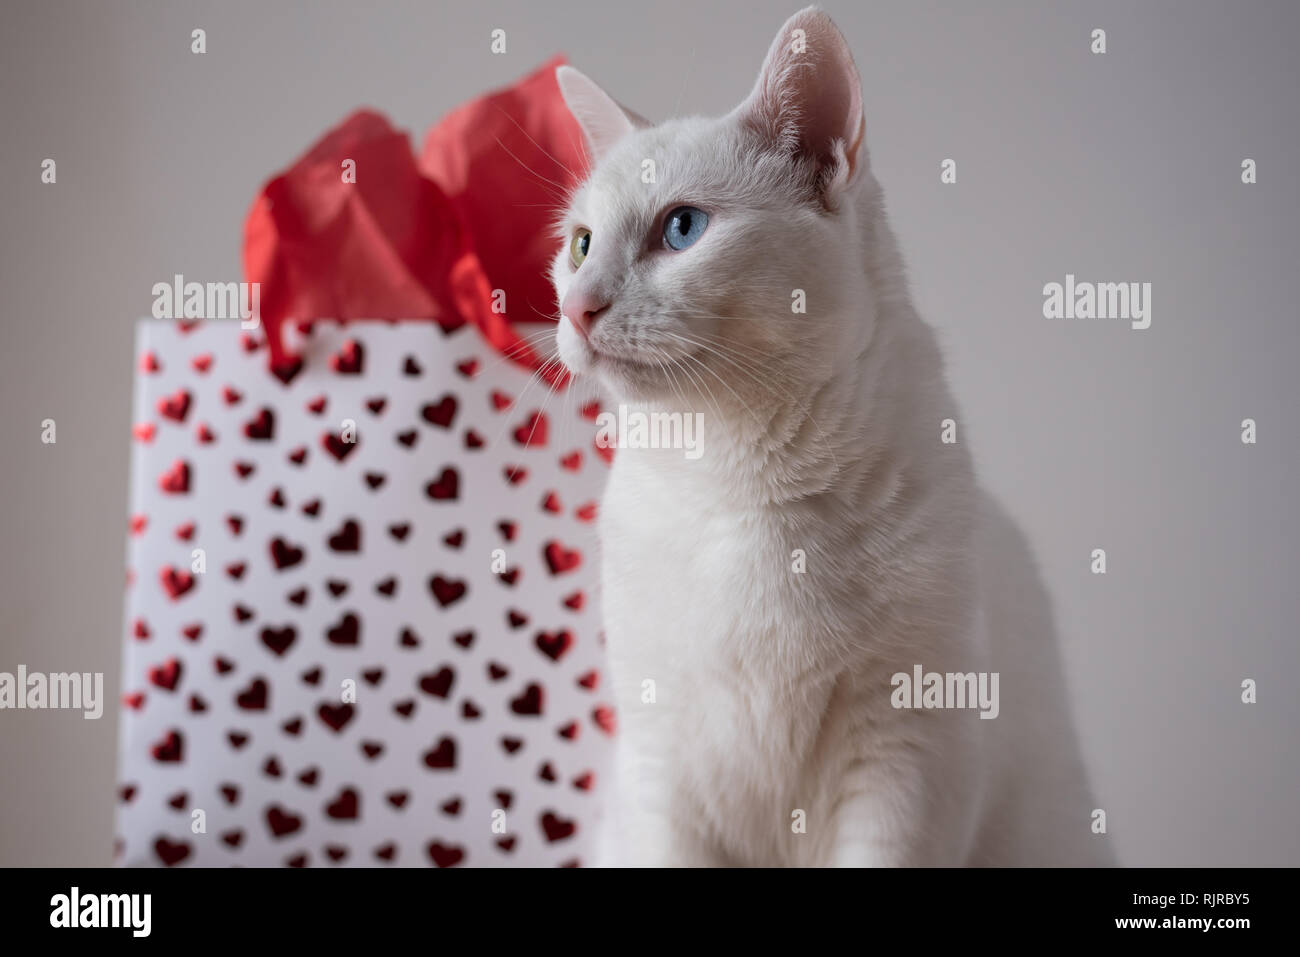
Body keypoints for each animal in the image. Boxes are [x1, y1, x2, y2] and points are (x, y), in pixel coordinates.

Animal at [553, 3, 1112, 863]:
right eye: (580, 243)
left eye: (681, 229)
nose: (577, 306)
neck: (738, 478)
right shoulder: (660, 762)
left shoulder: (905, 758)